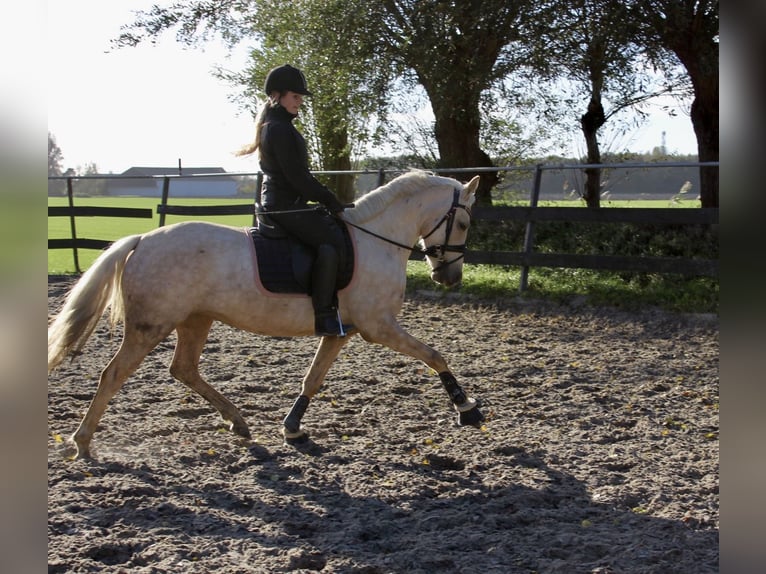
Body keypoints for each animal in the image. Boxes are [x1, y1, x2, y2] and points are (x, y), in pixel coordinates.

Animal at [46, 170, 486, 460]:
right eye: (464, 222)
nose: (450, 277)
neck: (376, 241)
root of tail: (142, 240)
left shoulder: (341, 330)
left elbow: (313, 378)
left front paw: (292, 429)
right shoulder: (378, 327)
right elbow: (434, 355)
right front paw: (467, 408)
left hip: (196, 320)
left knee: (183, 369)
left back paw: (238, 422)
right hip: (150, 327)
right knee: (114, 375)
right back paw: (82, 442)